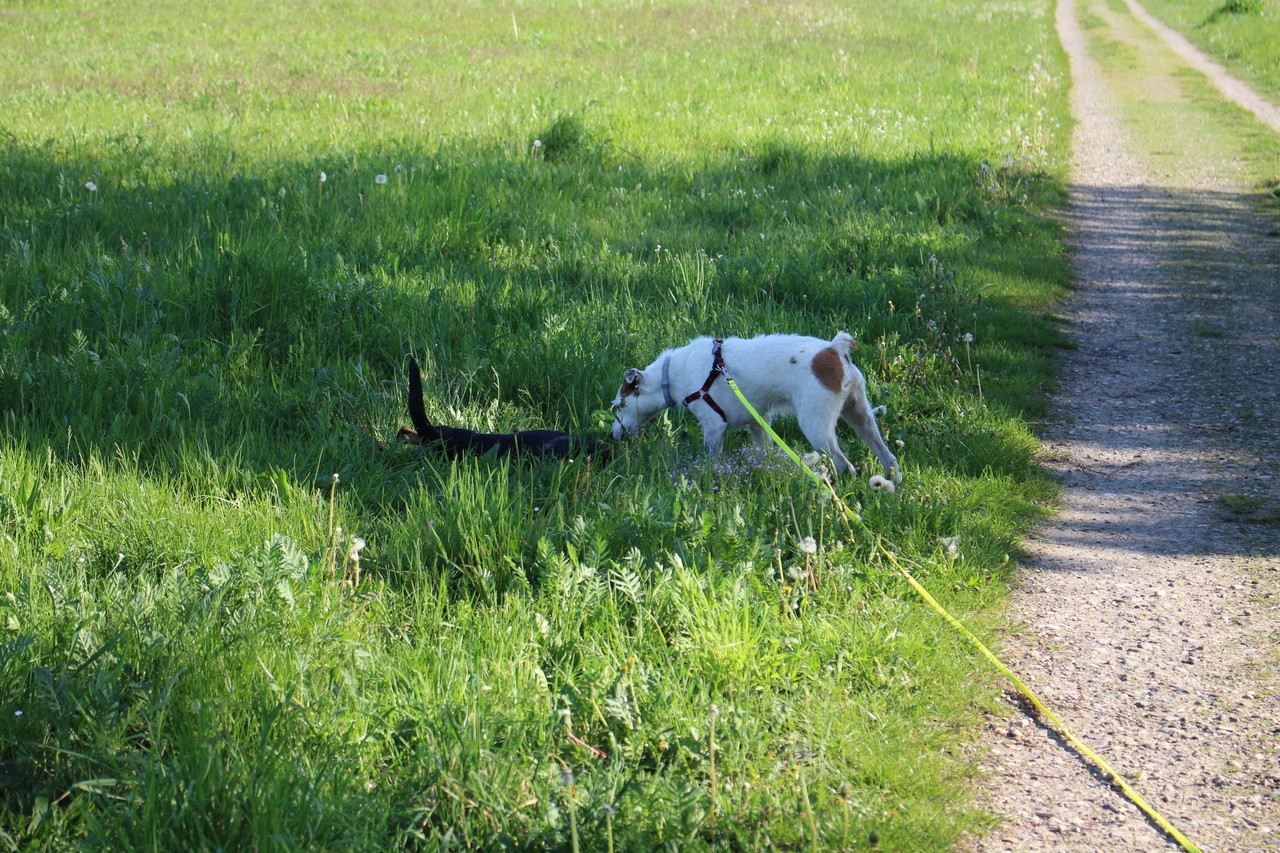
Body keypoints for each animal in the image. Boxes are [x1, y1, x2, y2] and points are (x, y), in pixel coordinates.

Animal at [609, 332, 898, 479]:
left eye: (620, 405)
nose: (612, 436)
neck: (670, 375)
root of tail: (834, 350)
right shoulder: (759, 422)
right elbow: (764, 452)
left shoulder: (714, 426)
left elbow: (713, 458)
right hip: (861, 415)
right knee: (888, 456)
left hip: (817, 427)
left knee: (844, 464)